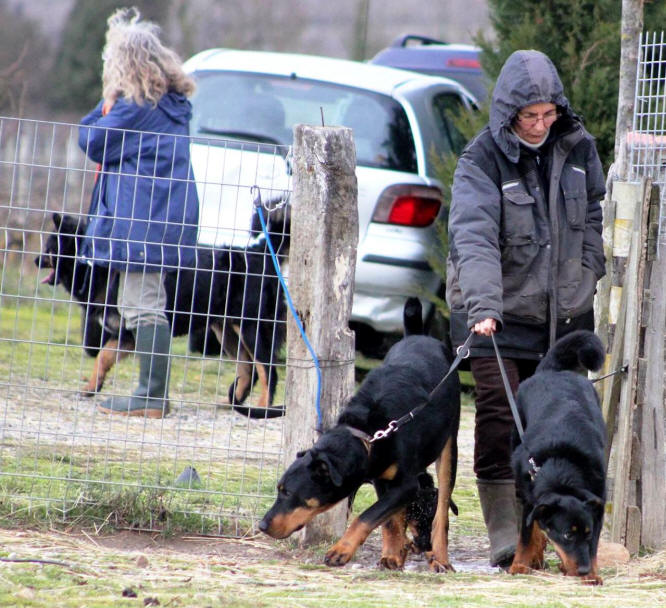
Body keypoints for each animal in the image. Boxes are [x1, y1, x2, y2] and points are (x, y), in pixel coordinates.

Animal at [34, 204, 288, 418]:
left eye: (49, 248)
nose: (36, 260)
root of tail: (261, 254)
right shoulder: (124, 334)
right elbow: (103, 358)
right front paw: (91, 387)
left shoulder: (131, 331)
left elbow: (105, 355)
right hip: (226, 330)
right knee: (248, 369)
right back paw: (232, 402)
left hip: (250, 327)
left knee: (268, 369)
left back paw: (262, 408)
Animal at [258, 300, 456, 568]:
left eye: (288, 492)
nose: (262, 525)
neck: (368, 434)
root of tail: (419, 335)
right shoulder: (383, 480)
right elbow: (389, 520)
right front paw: (392, 555)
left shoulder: (406, 484)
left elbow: (367, 516)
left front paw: (341, 550)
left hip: (449, 445)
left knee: (442, 510)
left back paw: (441, 559)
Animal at [508, 330, 608, 588]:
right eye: (567, 534)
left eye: (587, 534)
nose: (583, 569)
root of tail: (553, 371)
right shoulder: (531, 494)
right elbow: (525, 534)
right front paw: (519, 565)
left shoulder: (598, 504)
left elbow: (594, 546)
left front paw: (592, 574)